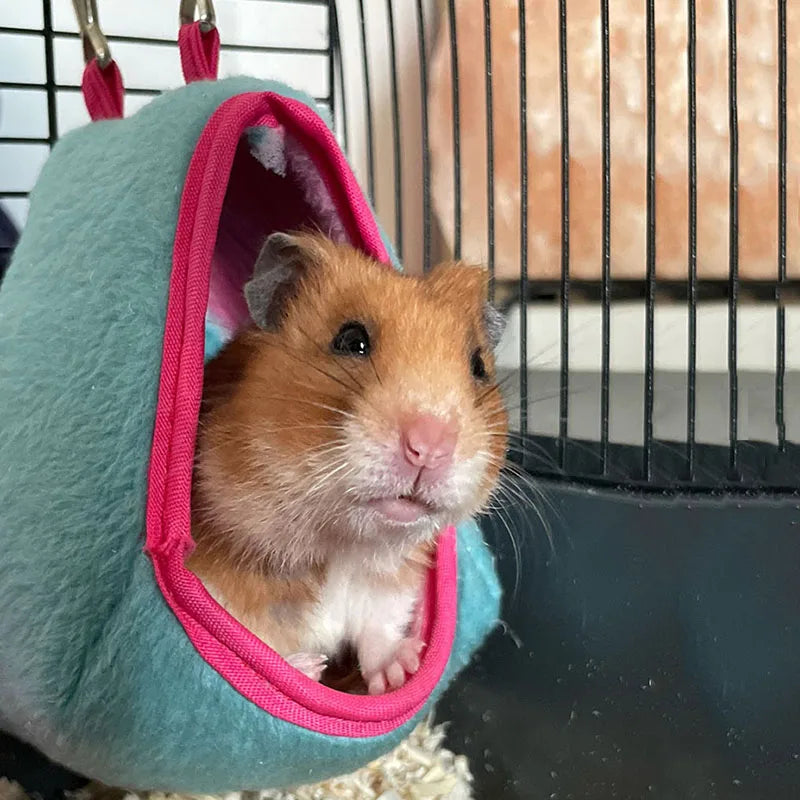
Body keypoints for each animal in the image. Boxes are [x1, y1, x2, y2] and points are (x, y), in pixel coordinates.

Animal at [187, 232, 508, 695]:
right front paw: (308, 668)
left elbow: (378, 628)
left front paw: (404, 668)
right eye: (351, 340)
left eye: (478, 366)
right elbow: (253, 635)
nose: (429, 448)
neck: (341, 545)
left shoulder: (388, 585)